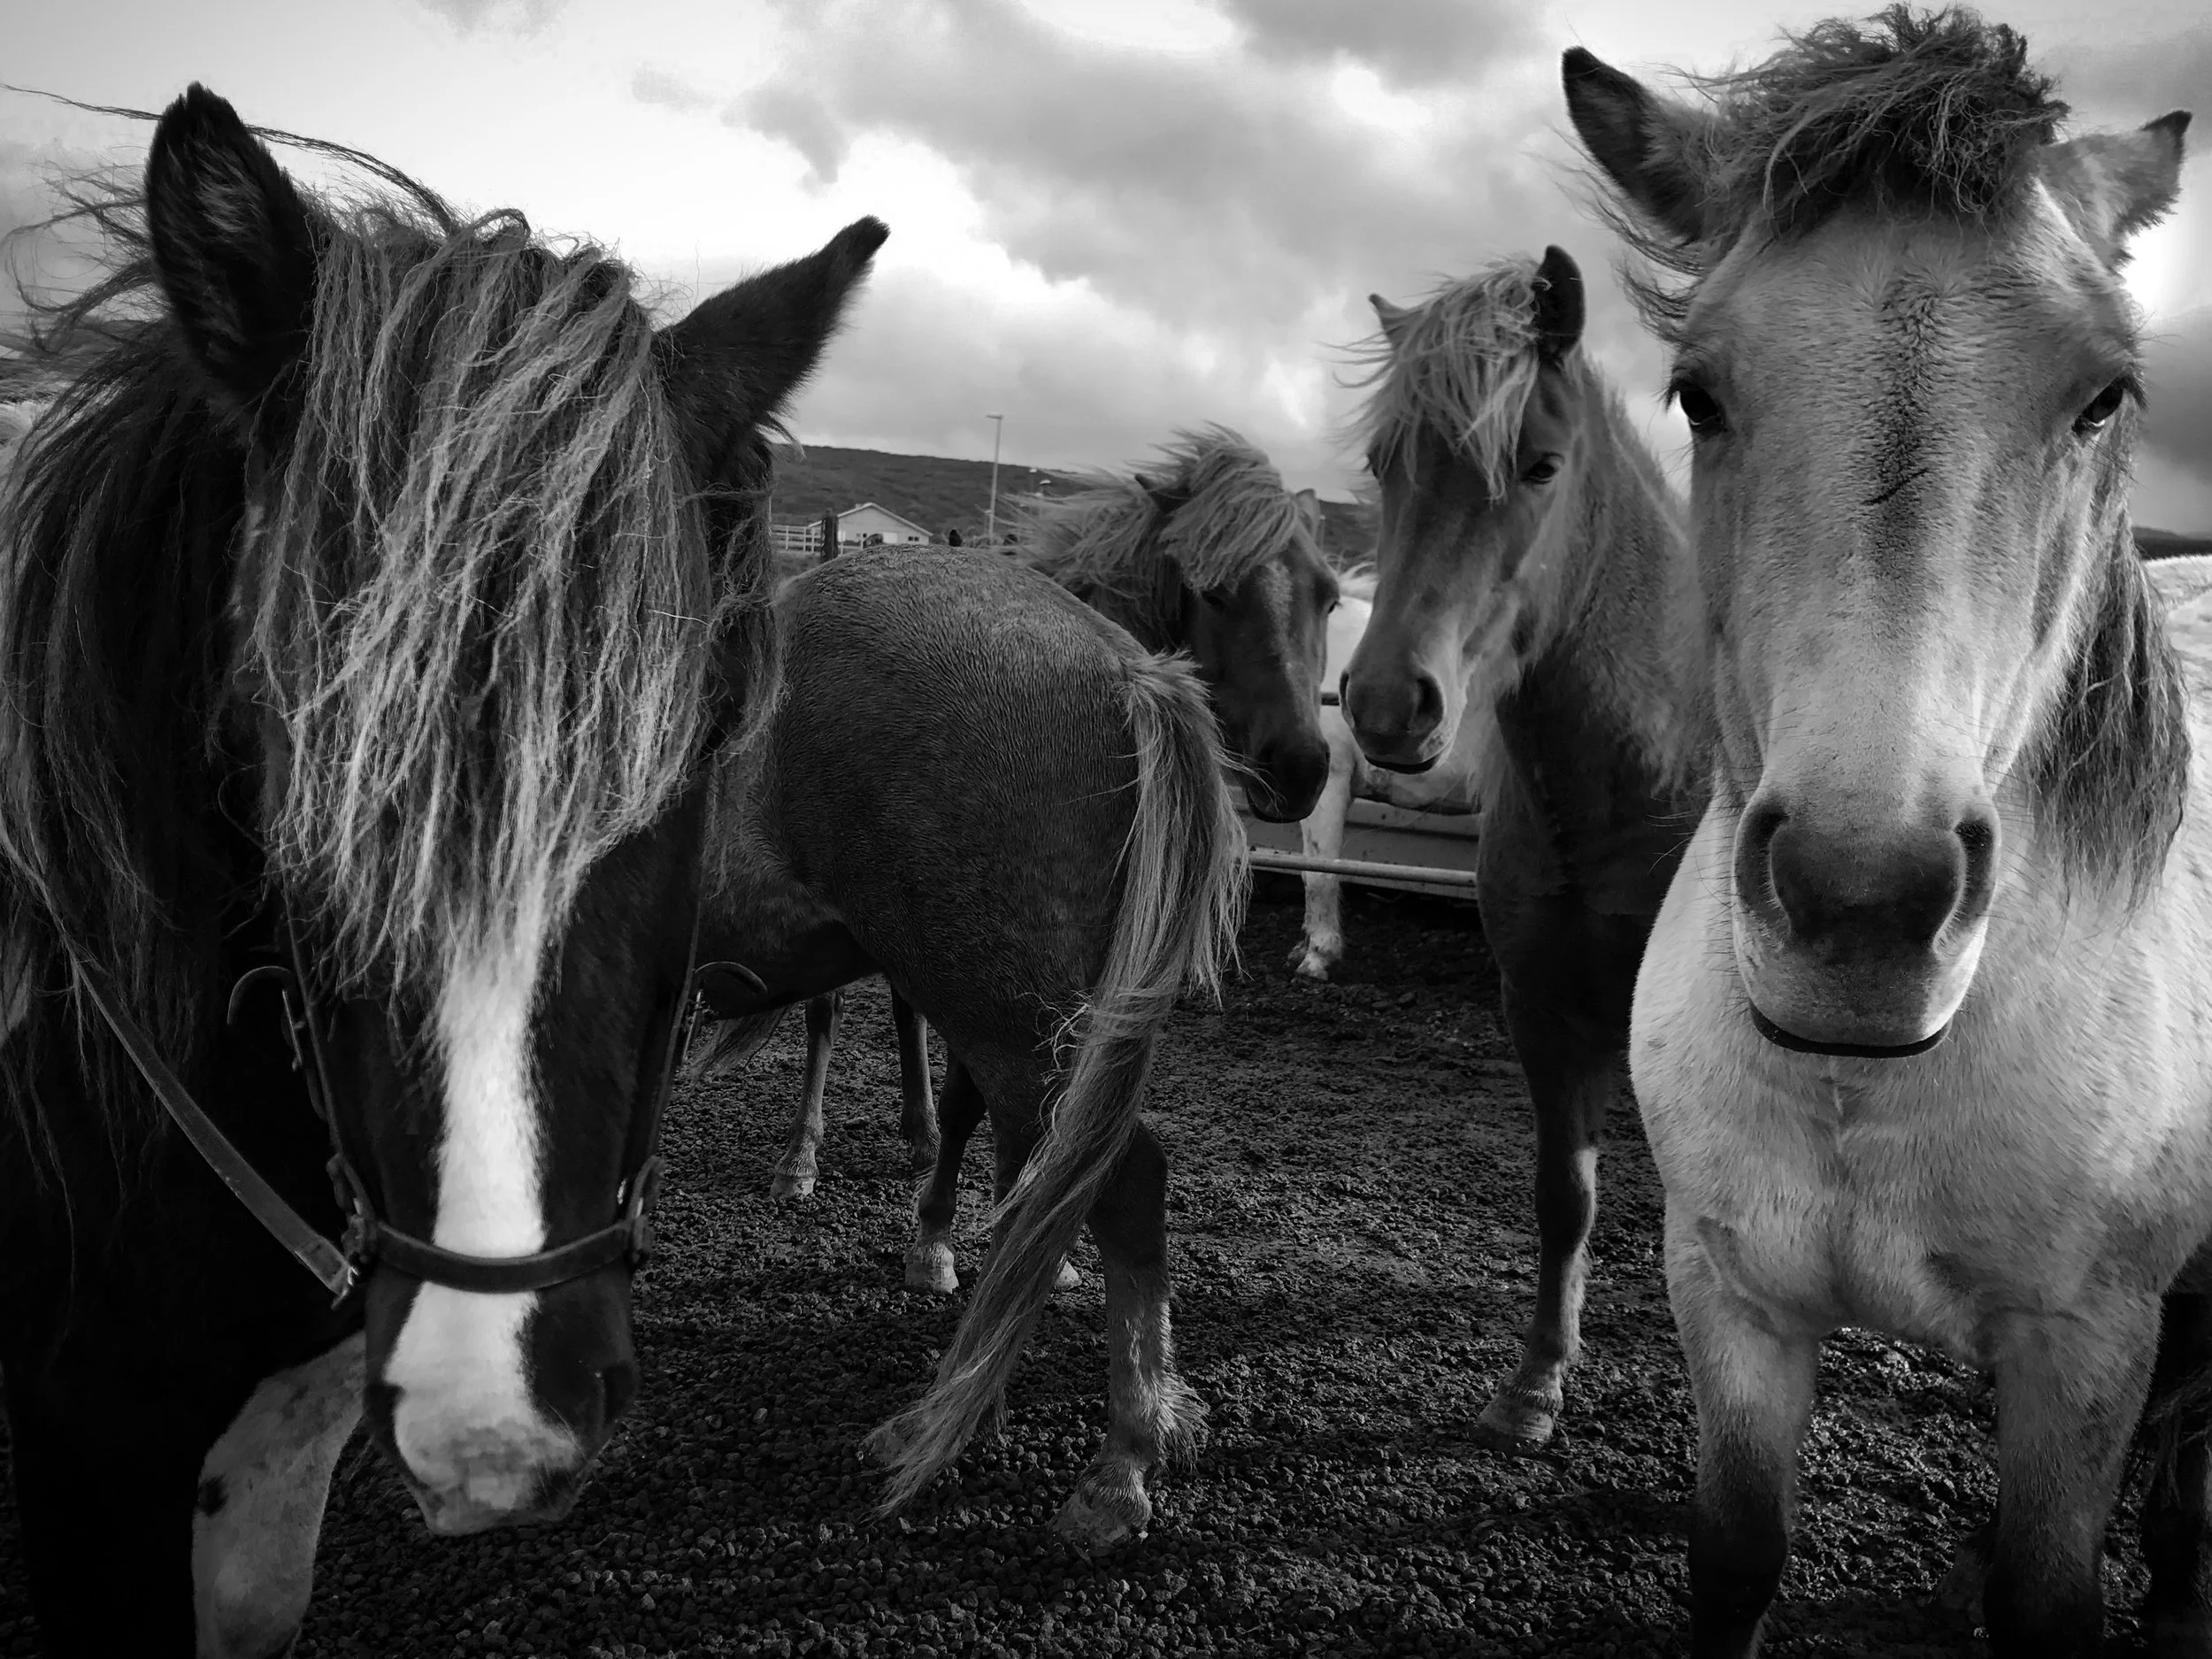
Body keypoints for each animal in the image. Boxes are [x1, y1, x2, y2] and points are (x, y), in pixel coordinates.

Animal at [726, 425, 1336, 1211]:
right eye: (1216, 591)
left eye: (1329, 596)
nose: (1303, 767)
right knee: (830, 1012)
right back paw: (808, 1150)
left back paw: (918, 1129)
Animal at [1334, 247, 1691, 1454]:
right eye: (1383, 465)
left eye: (1539, 465)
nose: (1386, 703)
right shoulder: (1539, 1008)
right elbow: (1562, 1196)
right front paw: (1537, 1381)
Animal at [1565, 8, 2202, 1653]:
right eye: (1698, 392)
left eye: (2103, 395)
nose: (1861, 912)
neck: (1871, 1084)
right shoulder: (1728, 1295)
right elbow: (1735, 1551)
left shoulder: (2086, 1345)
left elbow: (2048, 1591)